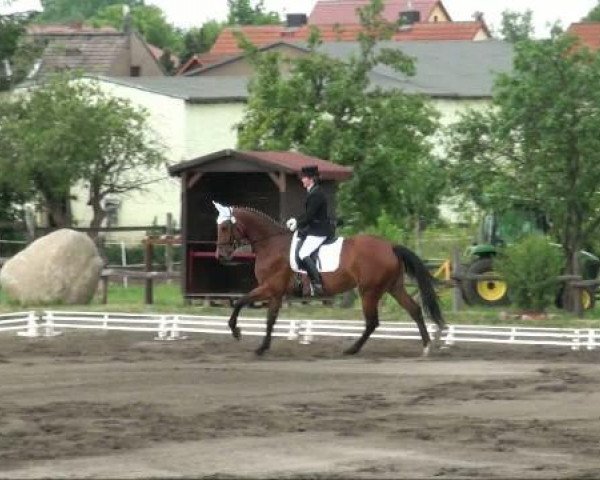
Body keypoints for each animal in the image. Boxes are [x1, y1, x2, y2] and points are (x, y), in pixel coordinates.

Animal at [213, 202, 448, 356]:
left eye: (224, 227)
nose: (221, 256)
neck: (271, 244)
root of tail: (390, 246)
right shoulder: (276, 293)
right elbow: (270, 319)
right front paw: (262, 346)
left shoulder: (270, 287)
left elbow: (241, 301)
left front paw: (237, 332)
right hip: (393, 287)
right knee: (414, 310)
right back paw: (426, 346)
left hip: (369, 291)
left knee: (372, 322)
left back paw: (352, 349)